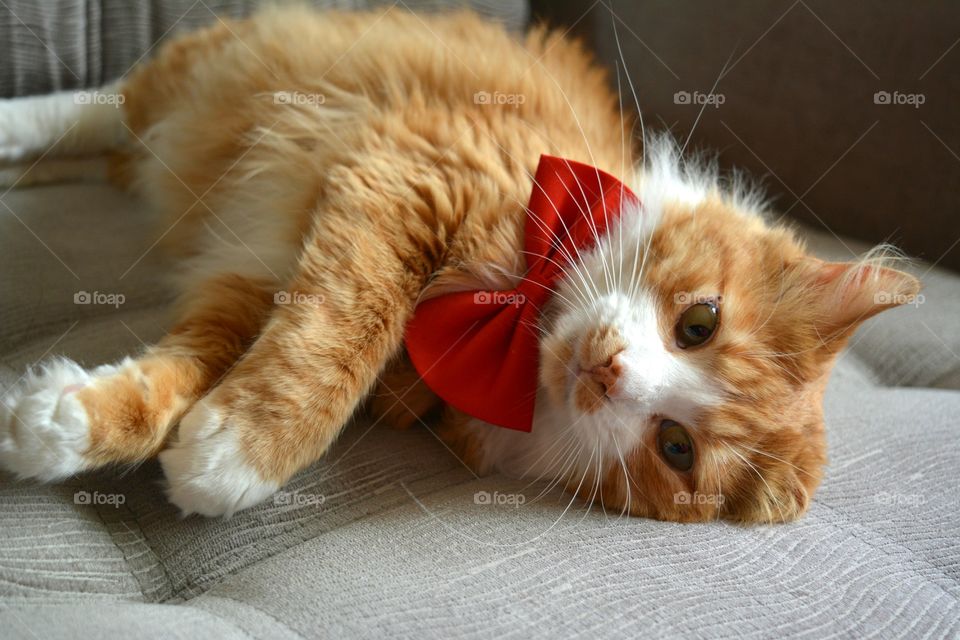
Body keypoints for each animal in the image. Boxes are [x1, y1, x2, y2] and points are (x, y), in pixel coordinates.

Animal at [0, 7, 920, 524]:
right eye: (700, 323)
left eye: (675, 449)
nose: (610, 372)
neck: (516, 318)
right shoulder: (404, 185)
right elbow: (339, 339)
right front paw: (245, 454)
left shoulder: (258, 272)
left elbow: (188, 370)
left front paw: (72, 423)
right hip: (210, 72)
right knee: (98, 104)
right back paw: (12, 128)